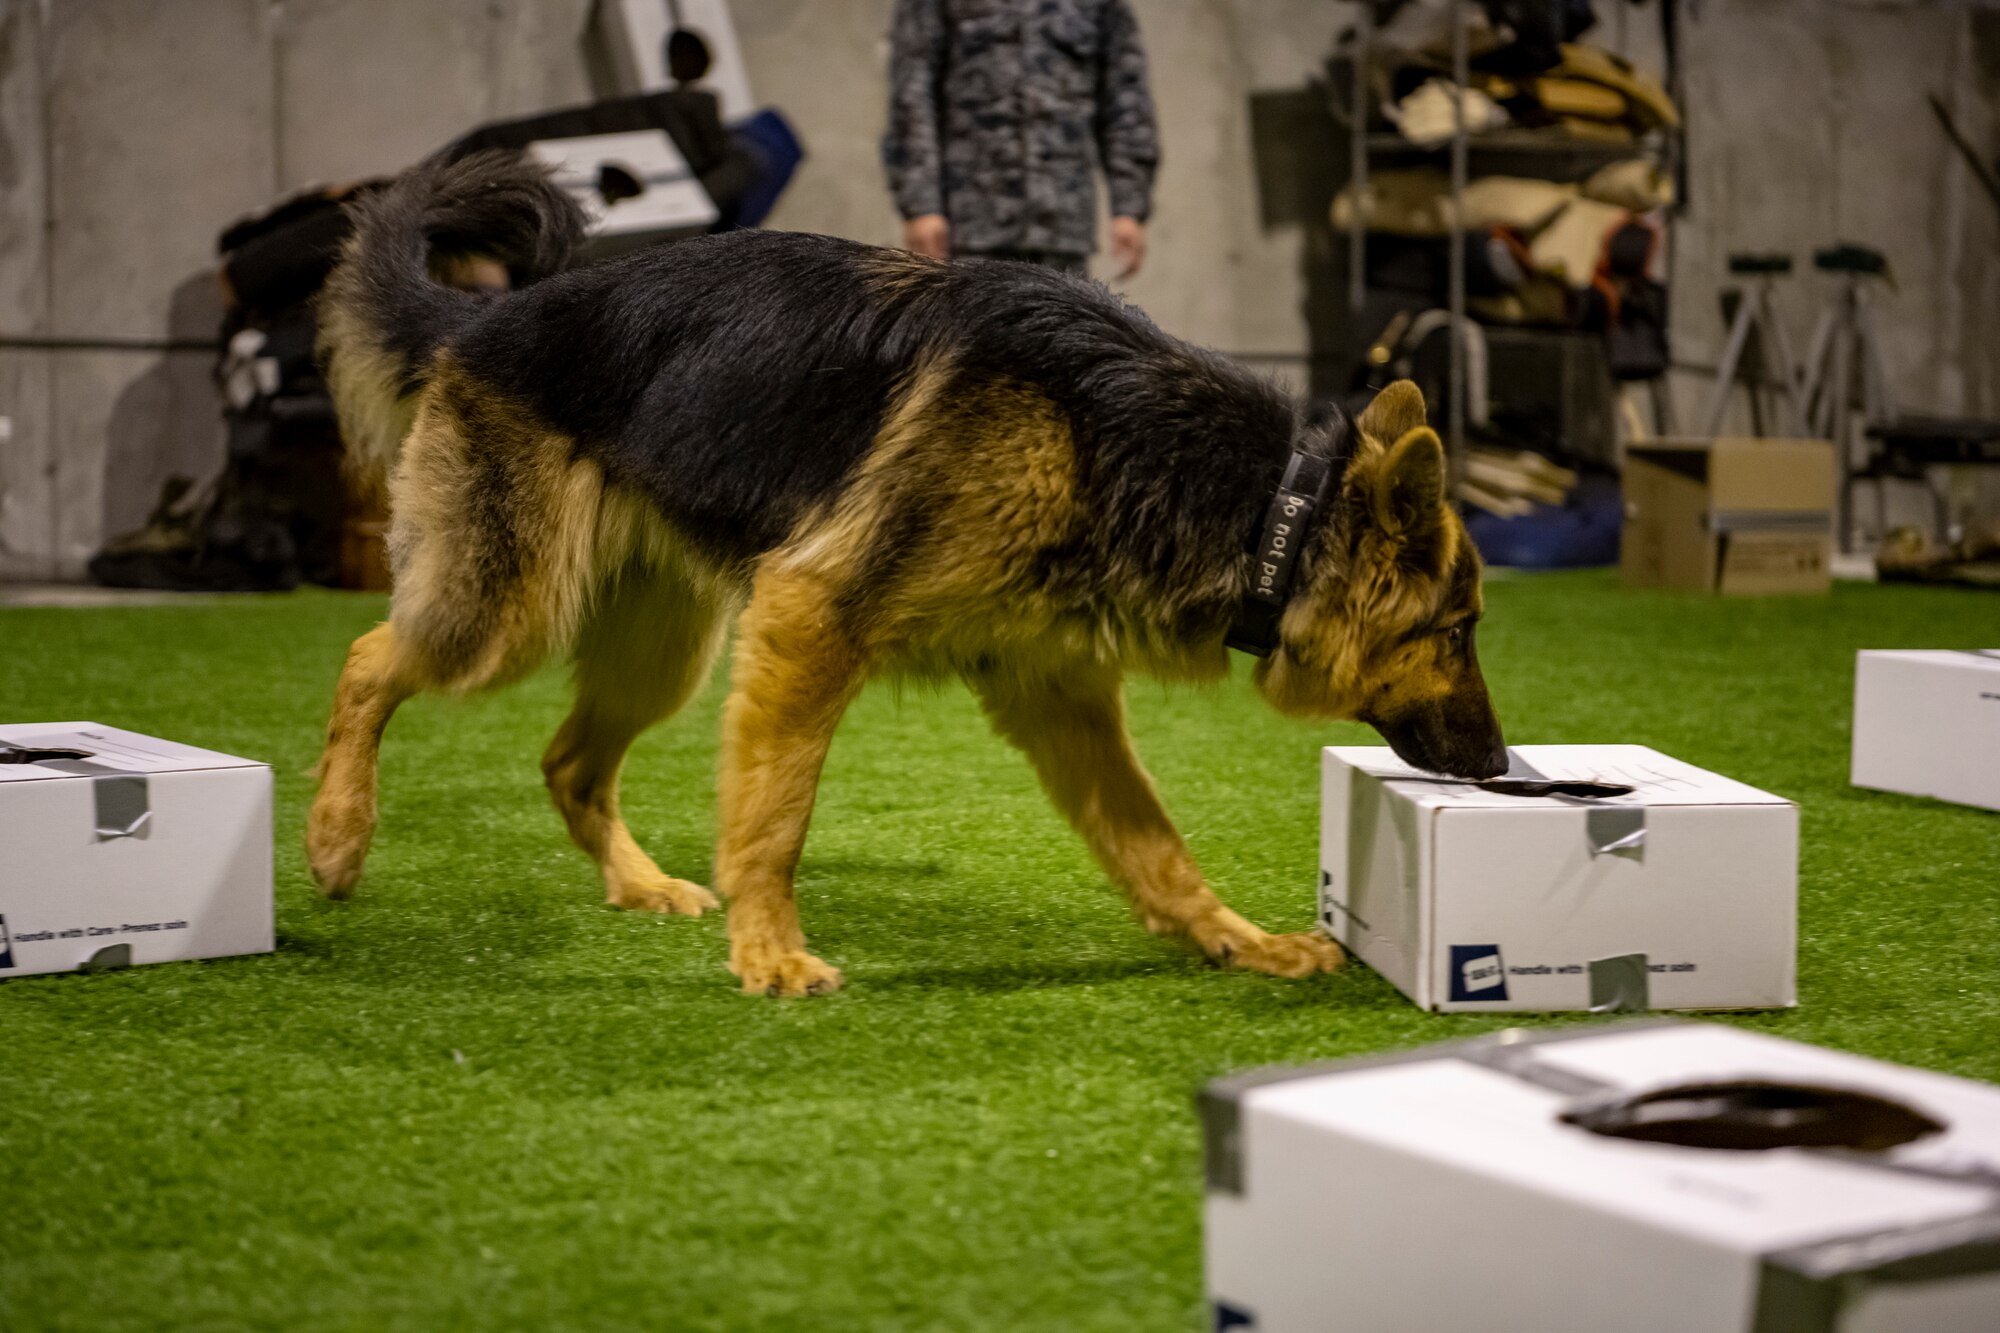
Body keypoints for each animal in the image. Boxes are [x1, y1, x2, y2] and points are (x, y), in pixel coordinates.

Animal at [308, 153, 1504, 984]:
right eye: (1456, 632)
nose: (1499, 767)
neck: (1266, 506)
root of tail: (488, 314)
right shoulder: (809, 622)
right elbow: (774, 817)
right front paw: (770, 952)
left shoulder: (1059, 697)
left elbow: (1154, 844)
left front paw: (1230, 939)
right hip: (503, 612)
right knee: (367, 658)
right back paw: (335, 837)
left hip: (659, 651)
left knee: (567, 761)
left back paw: (636, 883)